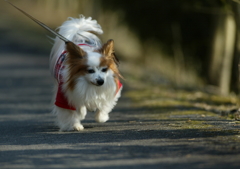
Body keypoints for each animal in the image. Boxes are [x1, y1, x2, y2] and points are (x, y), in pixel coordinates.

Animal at [6, 0, 123, 131]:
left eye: (104, 70)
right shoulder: (64, 96)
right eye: (90, 71)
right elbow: (71, 112)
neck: (89, 86)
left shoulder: (113, 88)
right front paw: (75, 125)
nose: (101, 81)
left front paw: (101, 117)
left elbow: (104, 104)